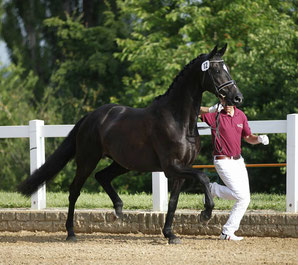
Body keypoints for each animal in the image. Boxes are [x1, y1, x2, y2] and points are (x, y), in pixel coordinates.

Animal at [18, 43, 242, 243]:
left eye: (228, 68)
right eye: (215, 70)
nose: (237, 97)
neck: (179, 120)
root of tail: (90, 117)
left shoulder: (181, 169)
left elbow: (173, 202)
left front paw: (170, 234)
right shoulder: (172, 166)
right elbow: (203, 177)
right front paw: (206, 213)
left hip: (123, 163)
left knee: (102, 176)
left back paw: (118, 209)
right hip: (87, 160)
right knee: (75, 191)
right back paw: (71, 233)